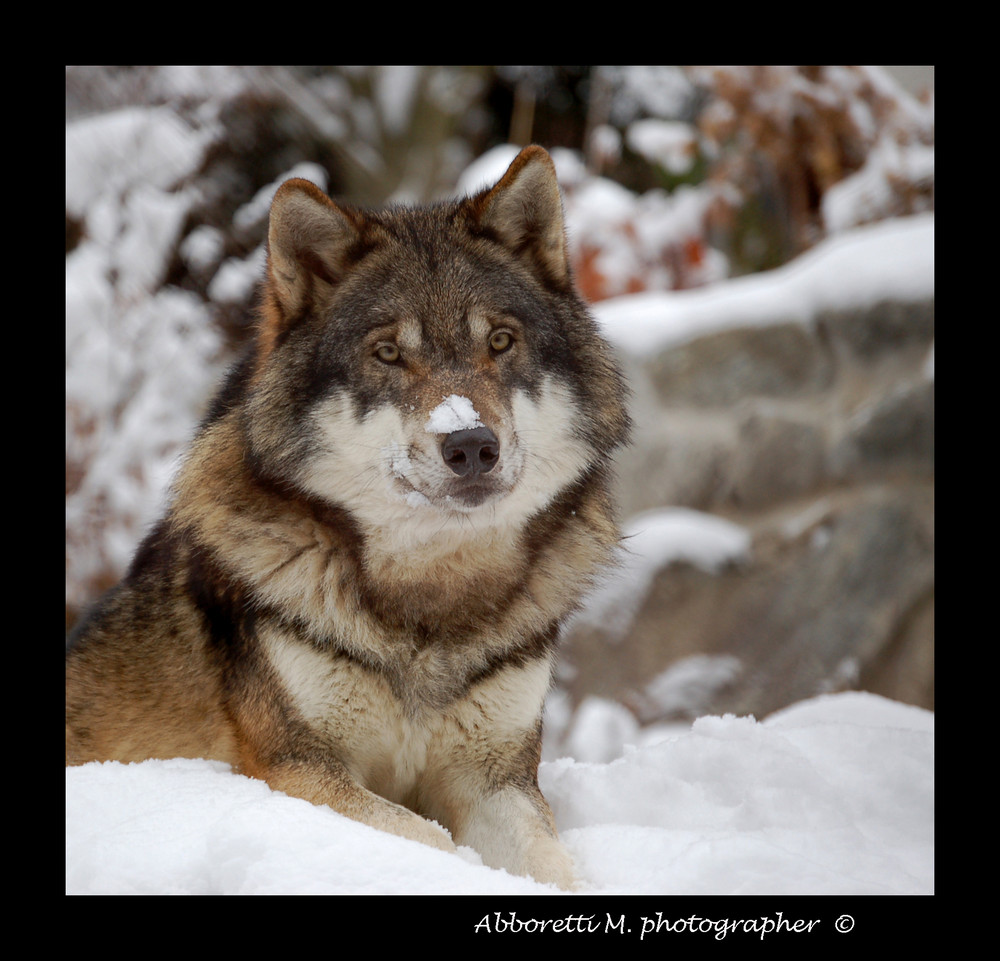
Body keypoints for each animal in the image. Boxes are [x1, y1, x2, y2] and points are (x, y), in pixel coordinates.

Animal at [68, 146, 632, 888]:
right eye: (388, 352)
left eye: (501, 342)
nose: (471, 444)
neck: (429, 605)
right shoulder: (296, 769)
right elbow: (429, 842)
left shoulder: (496, 780)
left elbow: (554, 866)